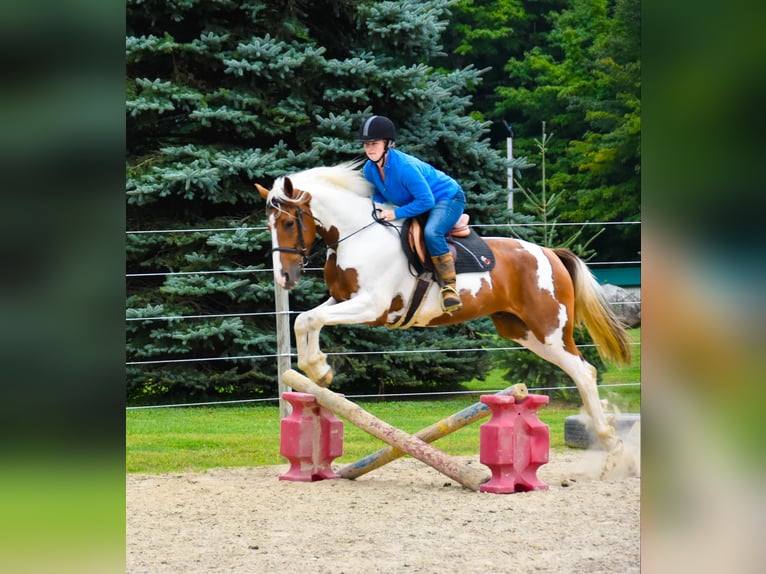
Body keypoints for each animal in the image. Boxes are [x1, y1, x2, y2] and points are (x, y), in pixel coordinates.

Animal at [258, 162, 636, 468]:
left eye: (289, 222)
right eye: (269, 225)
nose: (284, 278)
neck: (356, 236)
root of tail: (551, 252)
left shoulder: (372, 306)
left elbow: (310, 319)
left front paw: (319, 369)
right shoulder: (343, 299)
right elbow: (303, 319)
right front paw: (317, 371)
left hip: (549, 328)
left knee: (583, 371)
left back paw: (609, 440)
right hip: (524, 332)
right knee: (579, 369)